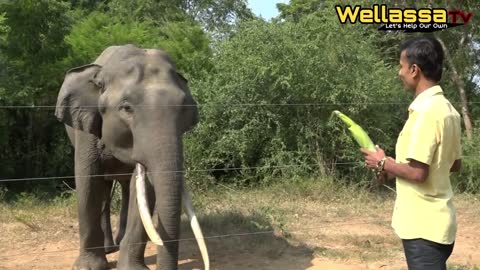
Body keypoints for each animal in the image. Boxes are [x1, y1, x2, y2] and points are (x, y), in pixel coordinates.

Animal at [54, 44, 208, 270]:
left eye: (185, 109)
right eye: (126, 108)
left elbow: (144, 189)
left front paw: (132, 268)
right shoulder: (87, 129)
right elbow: (88, 182)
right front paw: (88, 267)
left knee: (126, 187)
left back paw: (117, 243)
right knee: (104, 189)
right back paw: (109, 248)